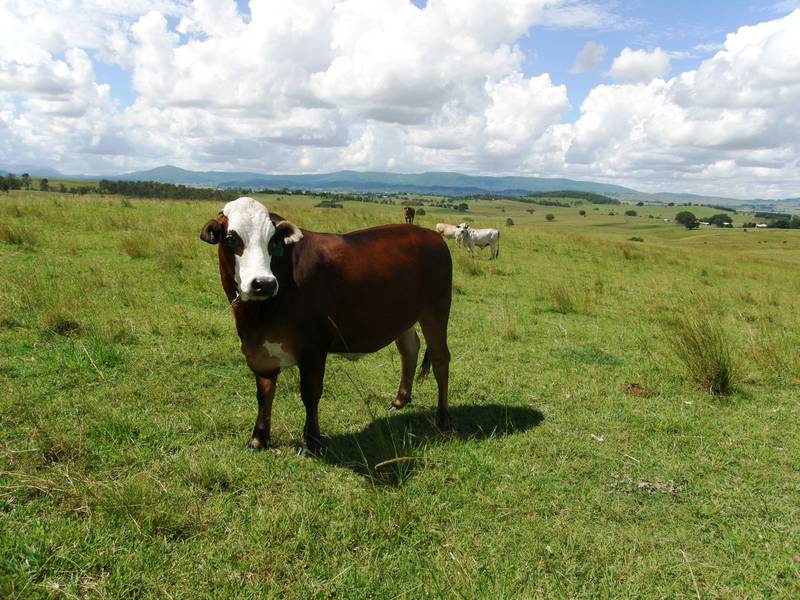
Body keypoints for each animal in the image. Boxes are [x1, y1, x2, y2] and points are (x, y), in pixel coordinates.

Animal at [200, 197, 453, 453]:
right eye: (231, 238)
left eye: (272, 241)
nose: (264, 283)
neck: (256, 316)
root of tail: (430, 235)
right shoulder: (261, 351)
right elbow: (264, 392)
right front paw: (258, 438)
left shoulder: (314, 347)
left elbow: (310, 393)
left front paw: (313, 440)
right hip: (403, 316)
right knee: (409, 349)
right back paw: (400, 400)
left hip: (436, 310)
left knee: (441, 360)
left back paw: (442, 418)